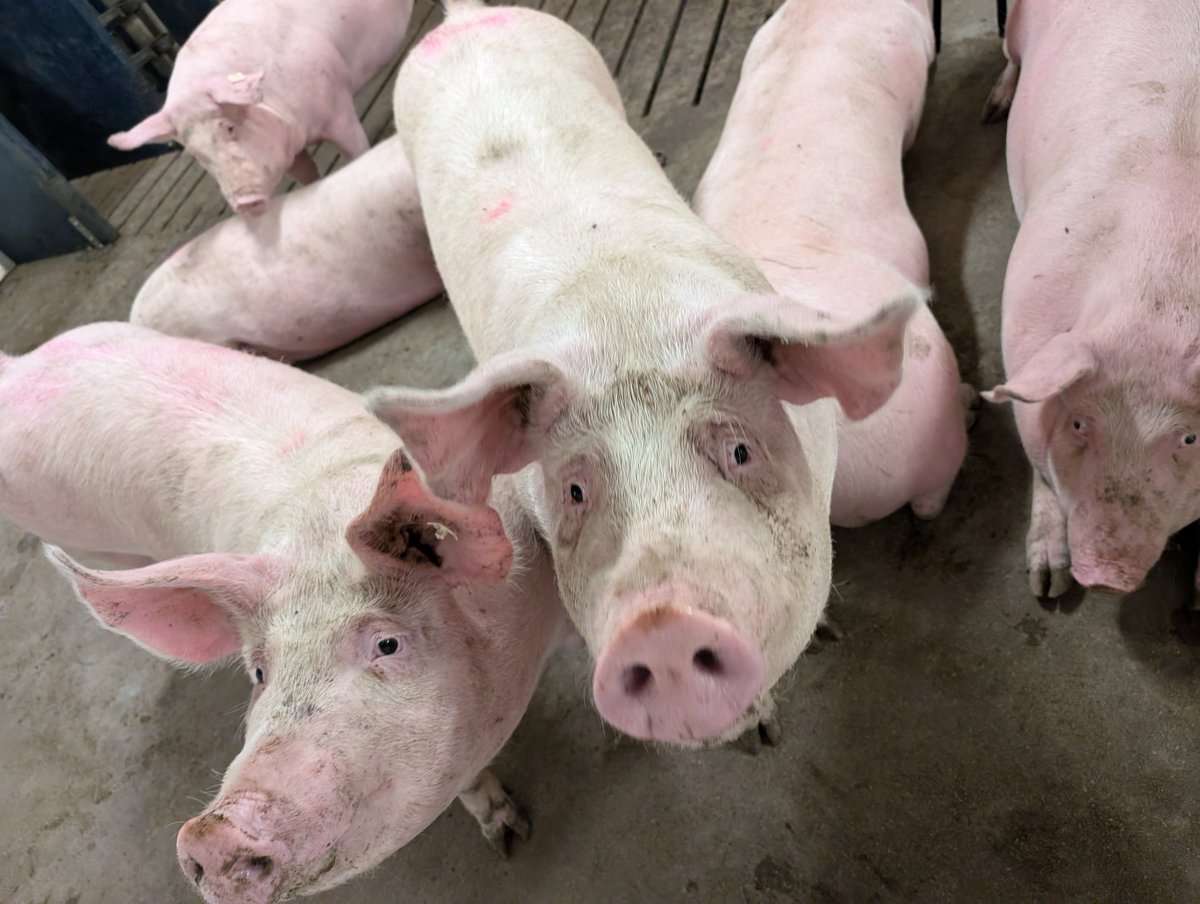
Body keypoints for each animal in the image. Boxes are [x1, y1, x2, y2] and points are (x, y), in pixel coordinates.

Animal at [0, 322, 564, 903]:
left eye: (387, 643)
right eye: (259, 672)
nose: (212, 836)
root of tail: (17, 367)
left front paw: (516, 835)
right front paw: (508, 836)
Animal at [108, 0, 415, 215]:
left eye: (229, 127)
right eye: (196, 154)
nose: (243, 202)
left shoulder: (339, 110)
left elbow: (357, 152)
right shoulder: (290, 148)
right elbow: (307, 176)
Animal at [981, 0, 1200, 598]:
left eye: (1190, 438)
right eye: (1080, 424)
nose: (1105, 575)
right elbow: (1039, 468)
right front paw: (1046, 588)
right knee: (1008, 56)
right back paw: (994, 107)